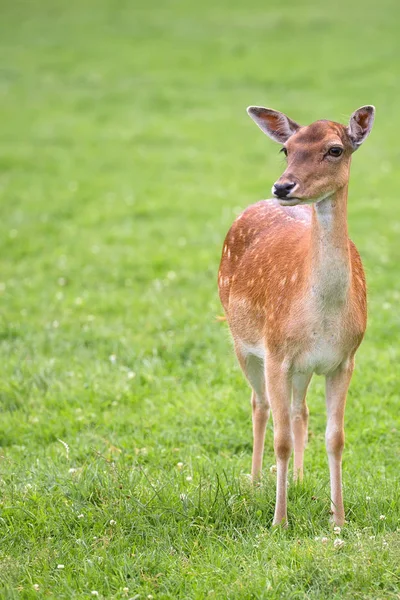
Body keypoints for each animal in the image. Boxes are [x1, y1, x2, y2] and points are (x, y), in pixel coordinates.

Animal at [217, 103, 374, 524]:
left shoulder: (345, 359)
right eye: (286, 149)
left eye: (335, 149)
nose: (282, 187)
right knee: (260, 405)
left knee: (299, 409)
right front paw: (279, 521)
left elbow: (335, 437)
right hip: (241, 340)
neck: (323, 318)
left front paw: (338, 520)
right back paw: (256, 482)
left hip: (303, 368)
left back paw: (302, 480)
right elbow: (281, 439)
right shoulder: (276, 353)